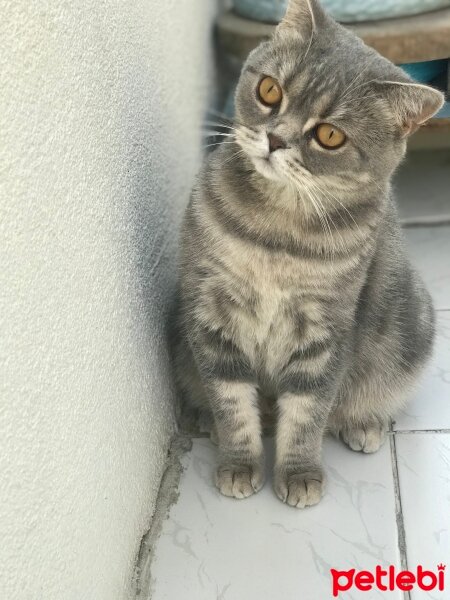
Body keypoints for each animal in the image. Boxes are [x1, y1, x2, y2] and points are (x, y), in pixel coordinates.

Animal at [172, 0, 442, 508]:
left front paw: (298, 473)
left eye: (330, 136)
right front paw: (239, 462)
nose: (276, 139)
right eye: (269, 90)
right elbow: (231, 400)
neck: (277, 233)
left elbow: (309, 410)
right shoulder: (211, 312)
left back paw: (363, 424)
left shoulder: (326, 330)